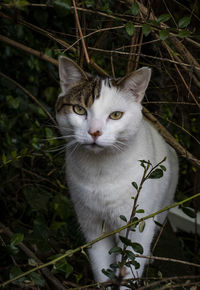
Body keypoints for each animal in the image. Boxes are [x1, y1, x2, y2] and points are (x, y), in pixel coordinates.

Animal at [55, 56, 179, 286]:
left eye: (115, 115)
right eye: (79, 110)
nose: (94, 132)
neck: (99, 171)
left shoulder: (137, 231)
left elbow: (128, 271)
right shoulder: (93, 227)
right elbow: (102, 270)